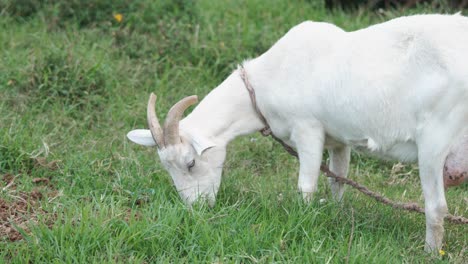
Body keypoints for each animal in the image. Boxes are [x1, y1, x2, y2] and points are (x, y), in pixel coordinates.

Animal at [128, 13, 468, 252]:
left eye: (190, 163)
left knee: (436, 207)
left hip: (434, 138)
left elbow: (306, 186)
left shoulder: (308, 128)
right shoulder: (339, 139)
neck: (269, 78)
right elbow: (337, 180)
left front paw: (304, 221)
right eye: (167, 168)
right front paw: (335, 214)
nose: (195, 210)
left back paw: (428, 252)